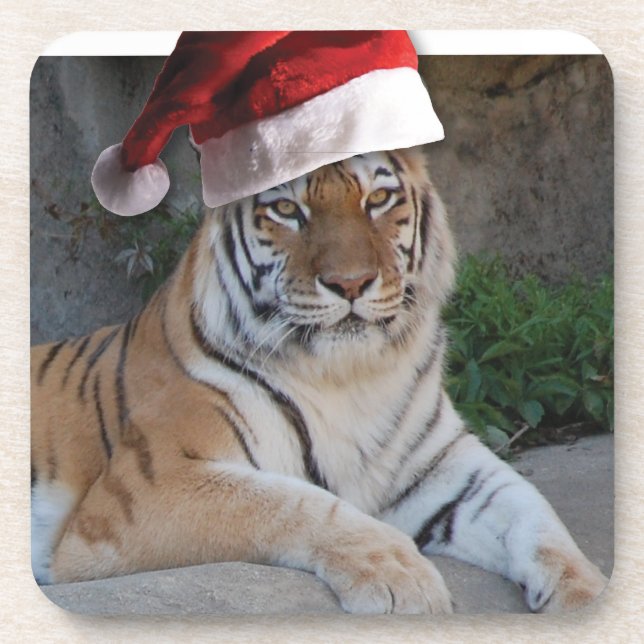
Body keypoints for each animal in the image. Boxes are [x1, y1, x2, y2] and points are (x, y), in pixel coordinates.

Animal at [31, 146, 607, 614]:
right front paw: (403, 577)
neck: (349, 375)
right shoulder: (147, 488)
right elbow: (294, 503)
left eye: (378, 198)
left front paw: (585, 595)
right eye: (287, 210)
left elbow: (534, 512)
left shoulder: (444, 466)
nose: (350, 283)